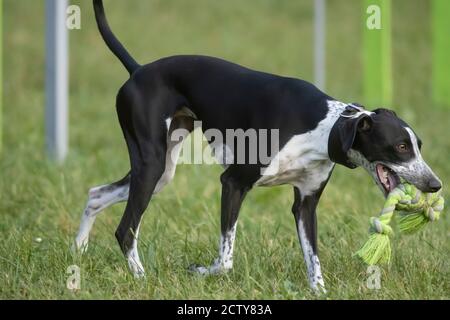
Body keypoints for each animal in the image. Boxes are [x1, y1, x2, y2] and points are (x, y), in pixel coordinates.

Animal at [74, 0, 442, 292]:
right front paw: (201, 271)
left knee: (96, 195)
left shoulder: (305, 204)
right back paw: (141, 278)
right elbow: (225, 260)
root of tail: (137, 70)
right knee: (125, 230)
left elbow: (314, 262)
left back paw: (77, 253)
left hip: (161, 171)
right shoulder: (233, 183)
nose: (435, 184)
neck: (324, 128)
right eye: (401, 147)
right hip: (151, 166)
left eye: (418, 144)